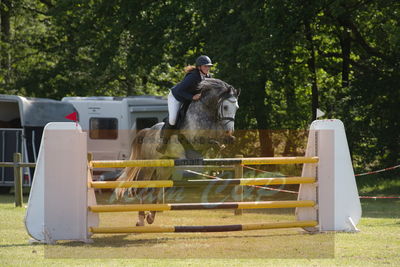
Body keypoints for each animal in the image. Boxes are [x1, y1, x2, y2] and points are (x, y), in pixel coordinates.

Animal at [115, 78, 241, 227]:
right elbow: (210, 142)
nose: (230, 131)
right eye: (226, 107)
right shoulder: (195, 140)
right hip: (149, 166)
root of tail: (147, 131)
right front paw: (217, 148)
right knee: (143, 187)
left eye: (237, 108)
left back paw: (151, 216)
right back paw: (141, 219)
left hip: (165, 168)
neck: (207, 112)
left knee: (157, 188)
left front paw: (225, 143)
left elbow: (219, 141)